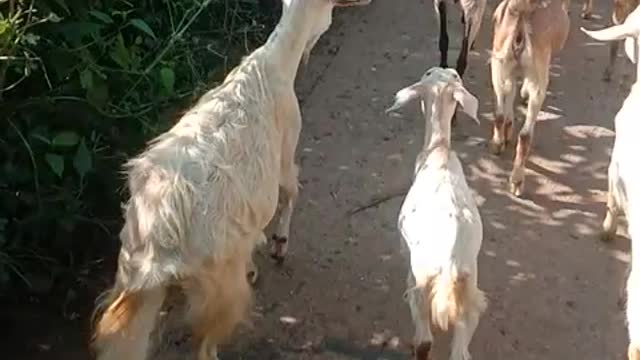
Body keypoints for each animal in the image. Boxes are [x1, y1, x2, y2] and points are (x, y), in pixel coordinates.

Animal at [89, 0, 370, 360]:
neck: (274, 63)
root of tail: (160, 238)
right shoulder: (285, 149)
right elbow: (292, 189)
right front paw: (280, 243)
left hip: (132, 280)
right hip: (219, 288)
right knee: (206, 345)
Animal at [384, 67, 490, 360]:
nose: (447, 70)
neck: (439, 150)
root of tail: (450, 259)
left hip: (421, 280)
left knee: (424, 341)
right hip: (470, 288)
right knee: (460, 349)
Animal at [490, 0, 568, 197]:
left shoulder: (509, 70)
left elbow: (510, 93)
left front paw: (508, 130)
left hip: (498, 61)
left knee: (499, 109)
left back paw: (498, 143)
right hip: (538, 74)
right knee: (525, 134)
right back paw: (517, 182)